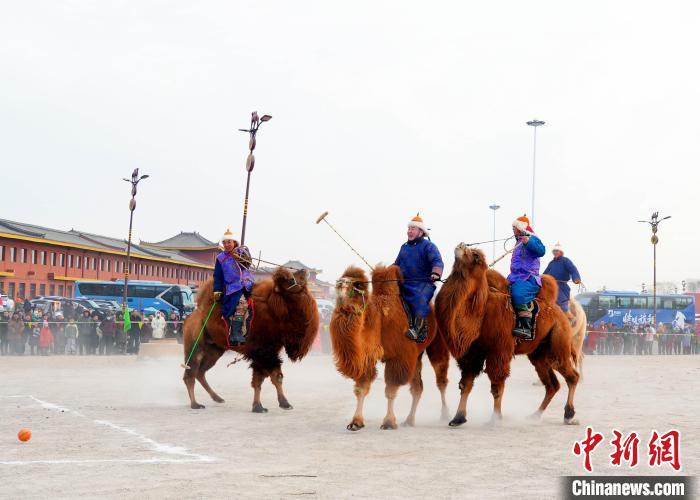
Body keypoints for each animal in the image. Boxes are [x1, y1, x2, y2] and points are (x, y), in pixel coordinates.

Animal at [183, 268, 320, 412]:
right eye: (290, 280)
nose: (304, 270)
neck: (276, 311)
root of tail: (190, 317)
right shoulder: (263, 352)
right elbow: (274, 377)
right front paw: (281, 404)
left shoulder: (265, 354)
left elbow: (260, 380)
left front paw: (261, 406)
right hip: (195, 348)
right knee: (190, 374)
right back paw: (195, 404)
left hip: (214, 350)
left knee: (200, 373)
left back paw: (218, 398)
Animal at [330, 264, 452, 432]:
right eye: (342, 278)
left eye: (357, 284)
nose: (340, 283)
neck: (380, 320)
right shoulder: (368, 357)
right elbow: (361, 389)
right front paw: (356, 422)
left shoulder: (398, 357)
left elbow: (391, 390)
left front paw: (388, 422)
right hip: (416, 356)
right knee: (417, 388)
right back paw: (409, 420)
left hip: (437, 344)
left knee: (441, 378)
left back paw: (445, 414)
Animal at [438, 244, 580, 428]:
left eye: (475, 255)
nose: (461, 245)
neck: (479, 311)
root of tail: (561, 314)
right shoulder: (472, 354)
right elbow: (466, 385)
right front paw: (458, 418)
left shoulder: (499, 350)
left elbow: (497, 386)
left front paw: (496, 418)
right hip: (539, 354)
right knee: (552, 385)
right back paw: (535, 415)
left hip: (558, 343)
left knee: (572, 376)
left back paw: (569, 415)